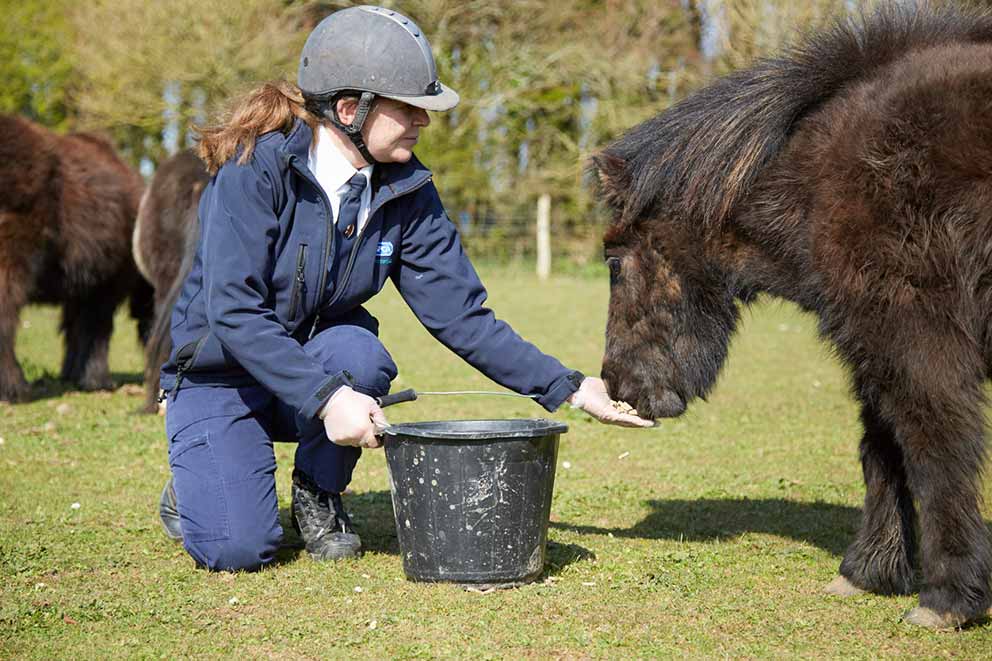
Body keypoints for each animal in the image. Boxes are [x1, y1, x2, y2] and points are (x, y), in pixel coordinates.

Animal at [0, 114, 153, 402]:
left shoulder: (85, 282)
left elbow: (76, 329)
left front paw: (73, 374)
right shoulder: (106, 283)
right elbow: (96, 330)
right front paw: (97, 380)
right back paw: (16, 388)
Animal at [595, 3, 992, 628]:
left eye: (613, 262)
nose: (616, 384)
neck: (824, 179)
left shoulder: (915, 345)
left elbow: (934, 450)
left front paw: (948, 596)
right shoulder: (874, 349)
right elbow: (880, 448)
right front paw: (868, 571)